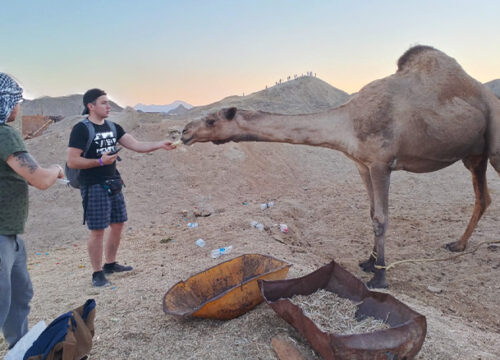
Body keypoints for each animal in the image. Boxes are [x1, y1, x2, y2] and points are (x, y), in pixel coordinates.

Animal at [182, 45, 500, 288]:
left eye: (211, 120)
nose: (184, 132)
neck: (349, 123)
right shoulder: (362, 164)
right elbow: (371, 213)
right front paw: (369, 263)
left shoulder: (382, 163)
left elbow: (381, 218)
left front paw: (380, 279)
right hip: (474, 155)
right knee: (483, 197)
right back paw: (458, 245)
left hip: (494, 142)